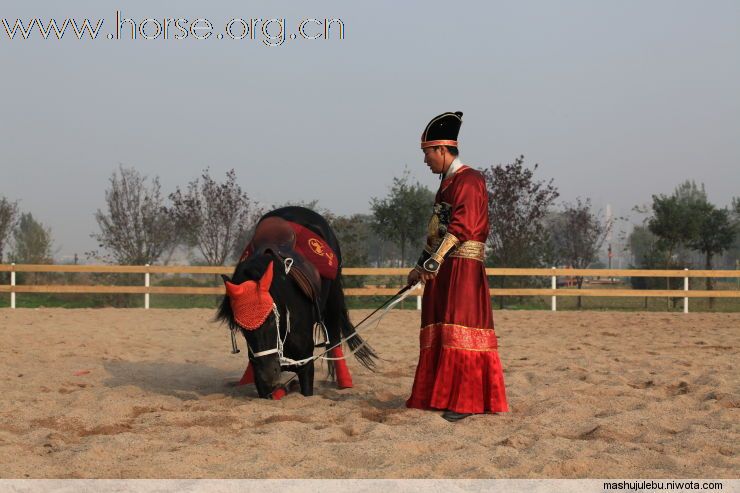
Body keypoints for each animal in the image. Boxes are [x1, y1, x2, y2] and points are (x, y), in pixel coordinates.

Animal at [214, 206, 376, 398]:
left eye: (271, 319)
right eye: (240, 327)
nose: (268, 373)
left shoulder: (306, 364)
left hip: (333, 298)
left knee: (334, 337)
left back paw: (345, 382)